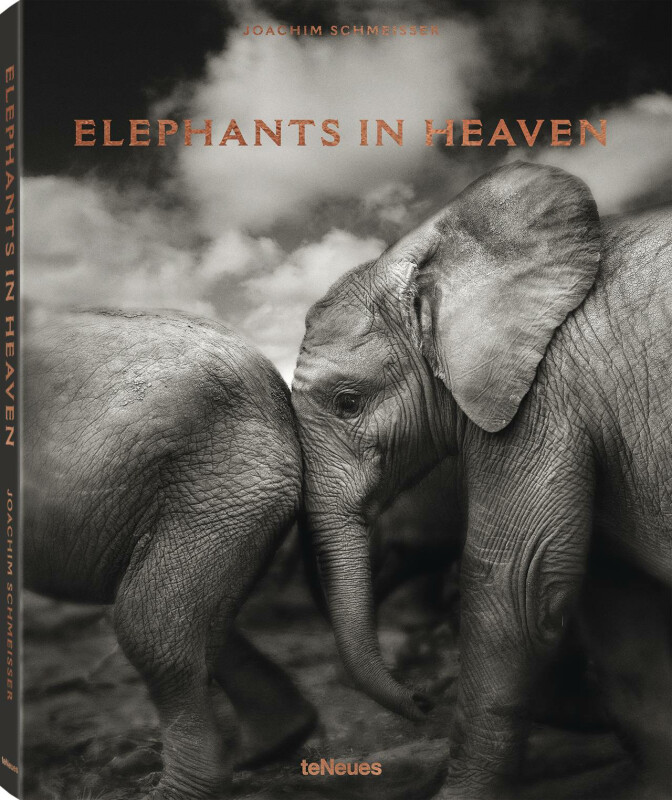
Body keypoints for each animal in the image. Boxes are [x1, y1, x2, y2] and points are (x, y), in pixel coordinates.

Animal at [24, 309, 316, 800]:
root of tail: (278, 394)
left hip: (218, 489)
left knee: (149, 627)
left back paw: (175, 789)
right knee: (198, 622)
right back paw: (270, 746)